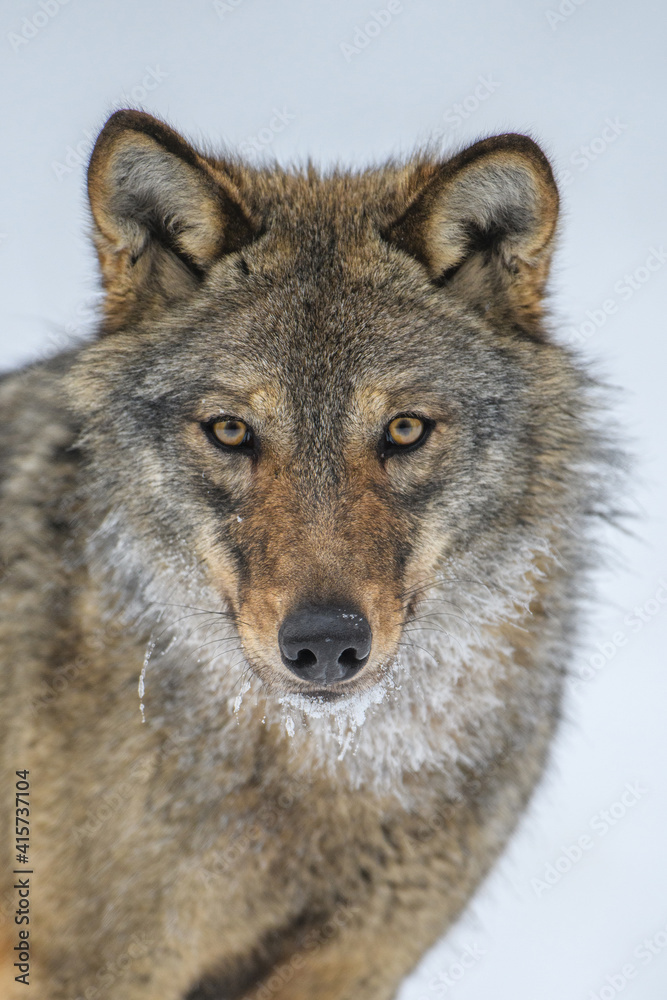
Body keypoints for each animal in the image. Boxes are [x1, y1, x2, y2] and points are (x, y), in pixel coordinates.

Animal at [0, 111, 616, 1000]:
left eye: (404, 430)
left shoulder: (352, 965)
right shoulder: (99, 971)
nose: (324, 644)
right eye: (230, 430)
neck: (332, 770)